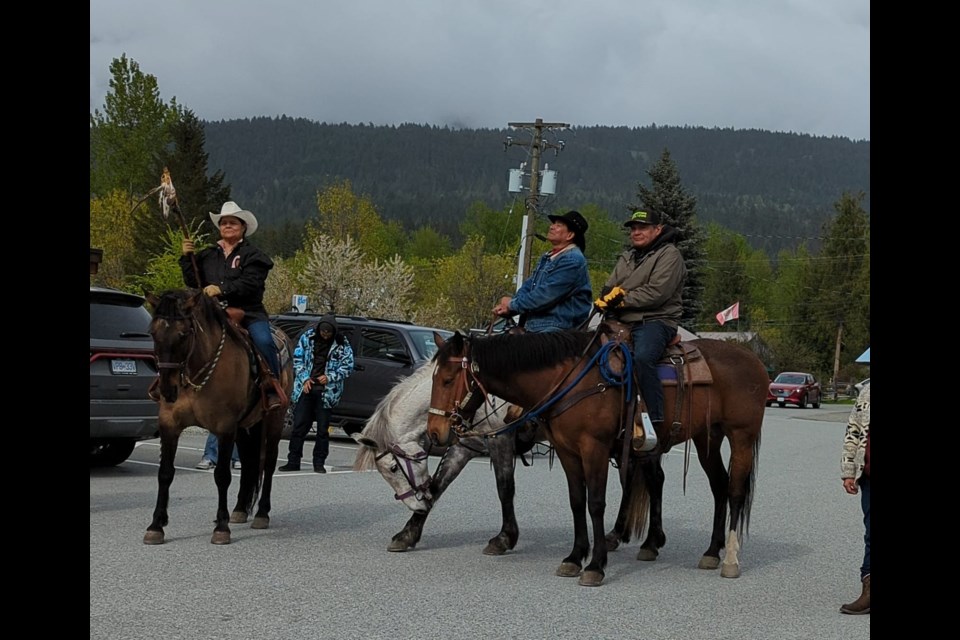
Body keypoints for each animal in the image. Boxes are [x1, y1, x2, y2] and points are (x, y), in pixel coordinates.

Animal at [142, 290, 292, 544]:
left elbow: (222, 475)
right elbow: (165, 473)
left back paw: (262, 513)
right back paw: (240, 510)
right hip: (246, 427)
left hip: (275, 419)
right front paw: (156, 525)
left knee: (268, 463)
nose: (167, 390)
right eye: (153, 333)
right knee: (250, 463)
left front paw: (221, 527)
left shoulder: (225, 427)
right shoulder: (169, 425)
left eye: (184, 334)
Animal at [354, 360, 548, 556]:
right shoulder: (465, 445)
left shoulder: (499, 438)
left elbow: (505, 489)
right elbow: (438, 484)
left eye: (393, 468)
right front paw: (407, 535)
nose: (416, 507)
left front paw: (504, 538)